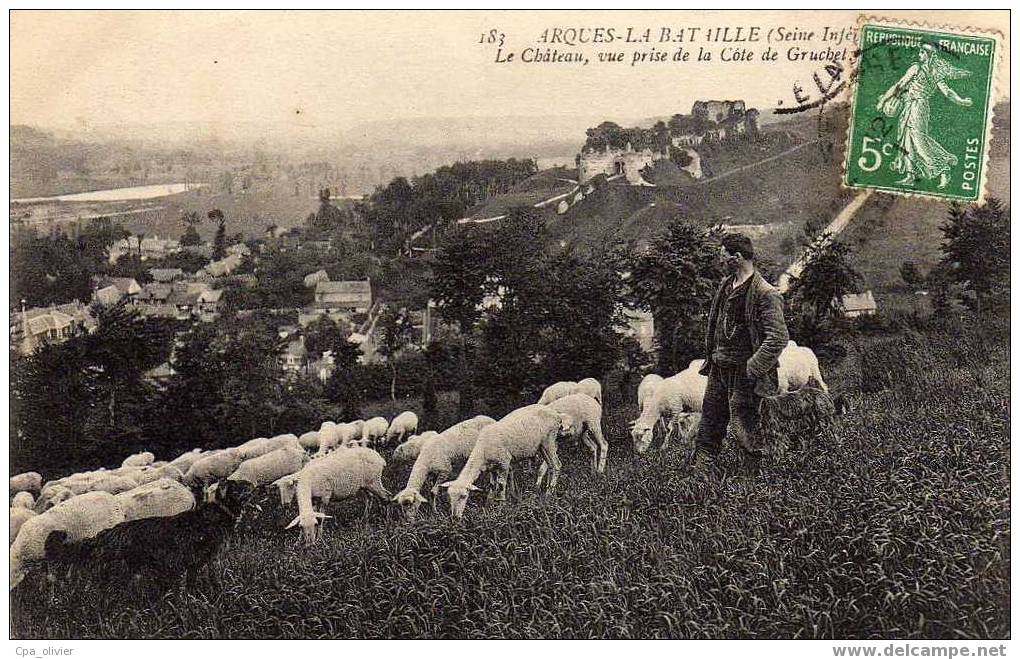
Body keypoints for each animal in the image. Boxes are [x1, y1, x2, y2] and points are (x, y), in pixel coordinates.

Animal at [438, 408, 571, 522]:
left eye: (464, 496)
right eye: (449, 497)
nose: (455, 518)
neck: (482, 451)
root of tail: (557, 414)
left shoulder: (504, 463)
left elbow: (501, 485)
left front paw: (501, 507)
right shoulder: (491, 468)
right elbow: (492, 485)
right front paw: (488, 505)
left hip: (549, 440)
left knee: (557, 465)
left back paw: (549, 494)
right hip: (542, 446)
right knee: (551, 466)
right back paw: (544, 490)